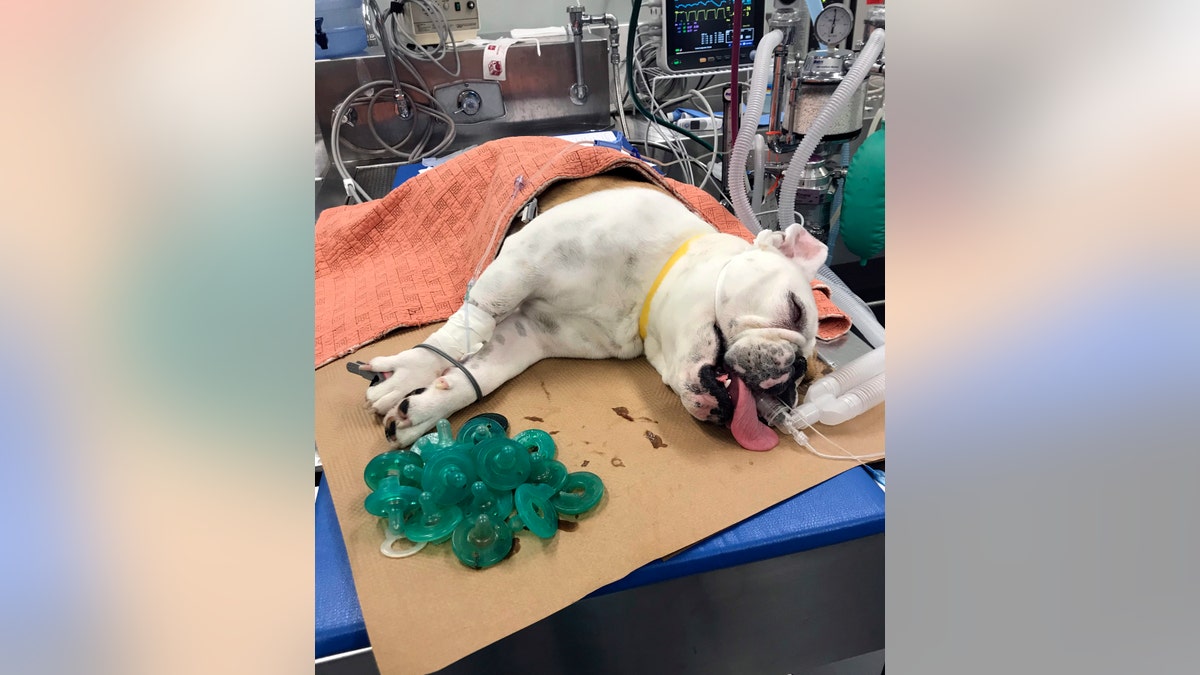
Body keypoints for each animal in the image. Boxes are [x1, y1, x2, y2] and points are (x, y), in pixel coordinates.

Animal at [360, 172, 830, 449]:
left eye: (804, 383)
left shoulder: (530, 334)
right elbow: (471, 324)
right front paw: (409, 372)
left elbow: (484, 372)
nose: (788, 382)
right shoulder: (520, 264)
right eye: (795, 310)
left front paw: (423, 409)